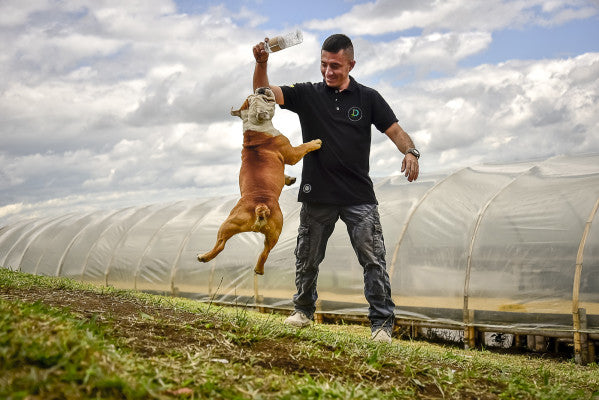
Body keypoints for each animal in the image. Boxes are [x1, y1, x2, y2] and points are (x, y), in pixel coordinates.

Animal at [197, 87, 322, 276]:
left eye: (255, 95)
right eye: (263, 98)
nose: (261, 88)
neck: (253, 126)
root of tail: (259, 206)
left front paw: (289, 179)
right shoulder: (291, 153)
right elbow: (303, 147)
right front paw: (315, 142)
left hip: (228, 224)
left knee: (221, 245)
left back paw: (204, 257)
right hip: (276, 230)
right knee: (265, 252)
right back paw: (259, 269)